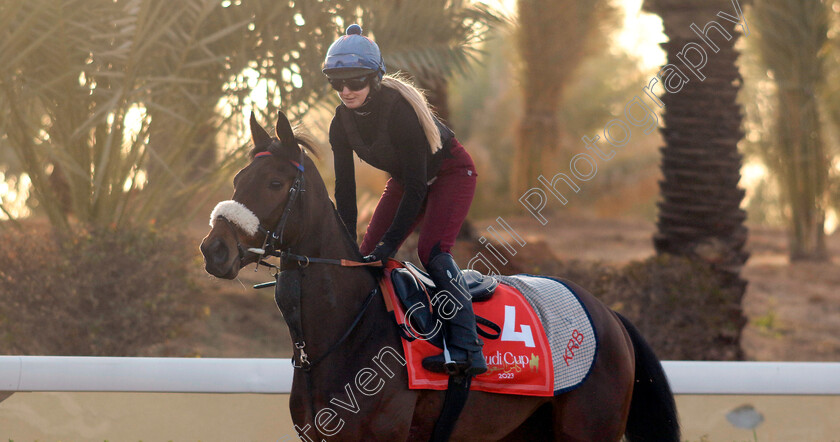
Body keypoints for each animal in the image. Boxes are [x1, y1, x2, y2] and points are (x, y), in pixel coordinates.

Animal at [200, 111, 680, 442]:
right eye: (240, 178)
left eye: (275, 182)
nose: (213, 249)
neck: (344, 331)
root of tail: (610, 316)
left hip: (589, 428)